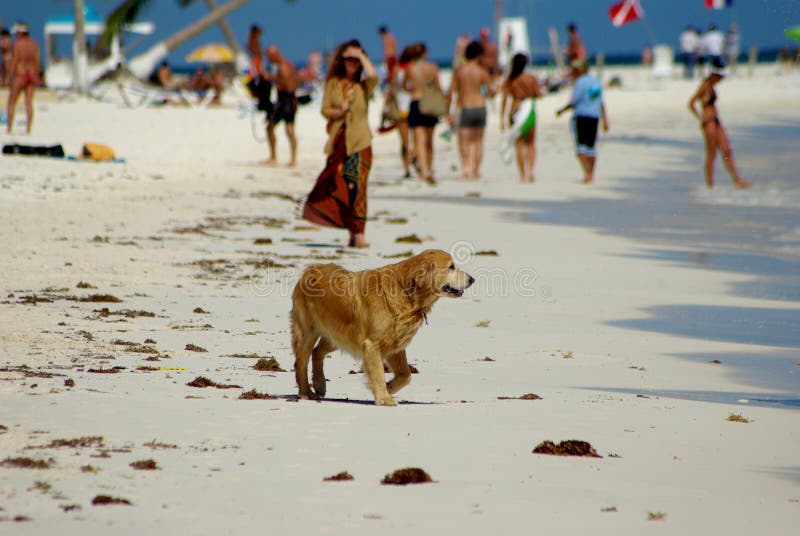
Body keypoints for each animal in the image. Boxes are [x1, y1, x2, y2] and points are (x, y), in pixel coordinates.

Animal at [290, 249, 472, 404]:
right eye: (451, 267)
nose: (472, 279)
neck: (405, 291)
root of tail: (310, 269)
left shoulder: (395, 344)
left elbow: (406, 375)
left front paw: (389, 388)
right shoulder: (372, 344)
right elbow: (377, 372)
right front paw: (384, 398)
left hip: (339, 336)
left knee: (317, 352)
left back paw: (320, 384)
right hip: (308, 333)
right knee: (300, 363)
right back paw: (306, 392)